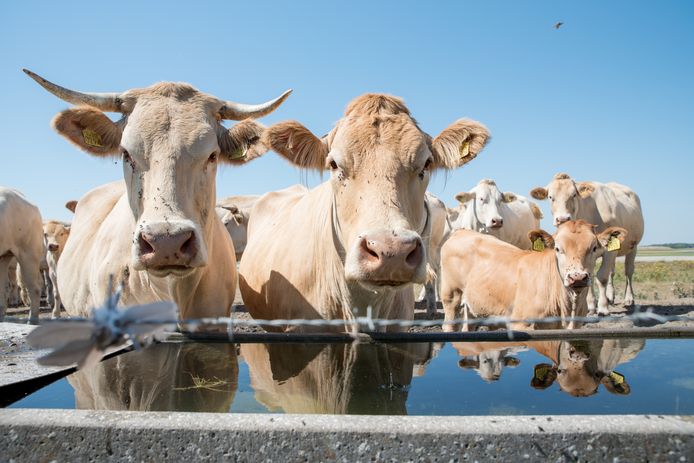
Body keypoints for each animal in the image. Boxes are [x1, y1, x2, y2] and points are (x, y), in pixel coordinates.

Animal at [532, 174, 648, 316]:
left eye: (574, 195)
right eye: (550, 197)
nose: (562, 219)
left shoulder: (609, 250)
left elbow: (602, 277)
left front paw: (602, 308)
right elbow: (591, 276)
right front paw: (591, 306)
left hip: (633, 247)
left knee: (628, 272)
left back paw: (629, 299)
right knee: (612, 272)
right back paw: (610, 297)